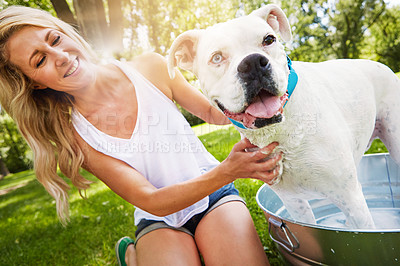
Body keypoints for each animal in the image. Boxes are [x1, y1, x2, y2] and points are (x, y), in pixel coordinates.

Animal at [167, 3, 400, 229]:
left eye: (269, 39)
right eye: (216, 57)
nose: (253, 63)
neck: (280, 133)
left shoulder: (351, 198)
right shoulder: (294, 203)